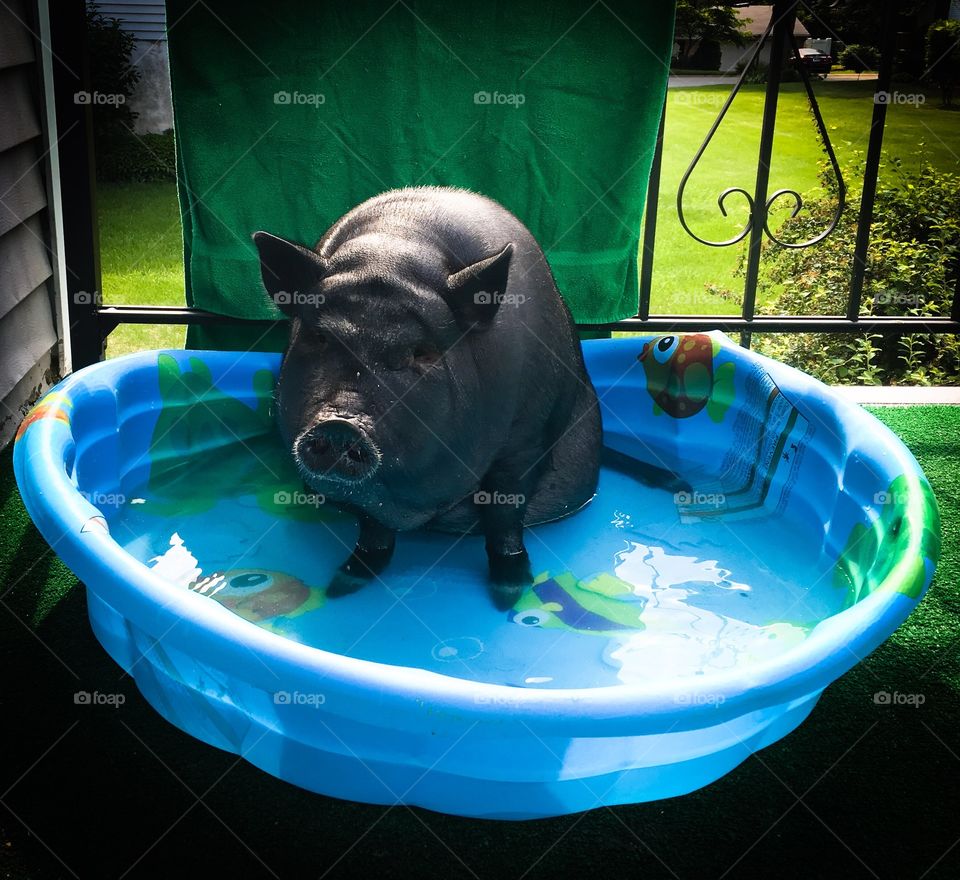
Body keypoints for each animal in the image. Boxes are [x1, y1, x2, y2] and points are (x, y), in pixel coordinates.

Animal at [253, 186, 601, 610]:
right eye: (320, 337)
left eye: (421, 353)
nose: (340, 425)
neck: (392, 251)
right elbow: (372, 525)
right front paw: (343, 584)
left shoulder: (525, 440)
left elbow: (505, 515)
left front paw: (508, 594)